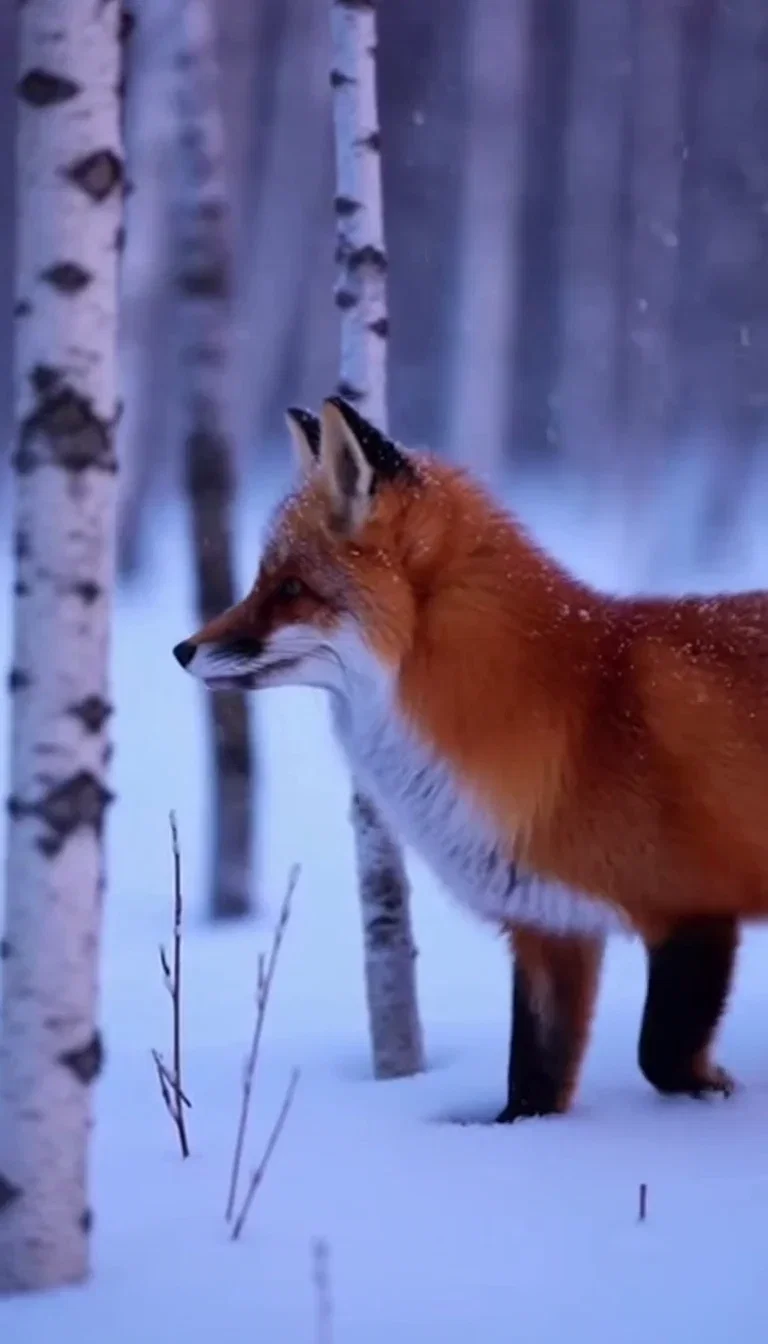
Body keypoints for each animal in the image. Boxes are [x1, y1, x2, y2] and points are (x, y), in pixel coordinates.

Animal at [173, 395, 755, 1121]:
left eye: (291, 588)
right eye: (260, 581)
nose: (182, 650)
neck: (579, 720)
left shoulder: (694, 910)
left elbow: (662, 1056)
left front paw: (716, 1096)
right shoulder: (550, 929)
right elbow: (531, 1085)